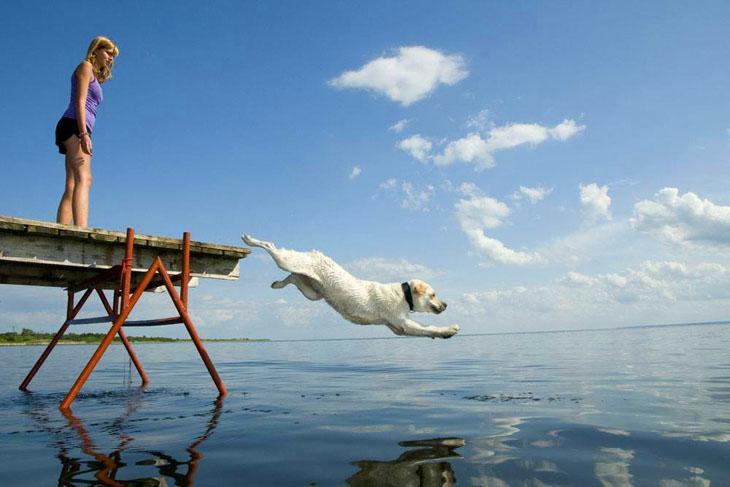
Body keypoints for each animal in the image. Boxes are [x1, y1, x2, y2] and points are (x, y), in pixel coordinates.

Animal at [242, 236, 458, 340]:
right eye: (433, 295)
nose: (446, 304)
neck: (404, 295)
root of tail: (315, 253)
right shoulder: (404, 322)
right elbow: (429, 326)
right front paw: (449, 328)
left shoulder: (399, 328)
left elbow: (426, 330)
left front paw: (445, 334)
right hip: (286, 261)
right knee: (270, 246)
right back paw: (250, 240)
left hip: (310, 291)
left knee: (291, 278)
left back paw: (276, 284)